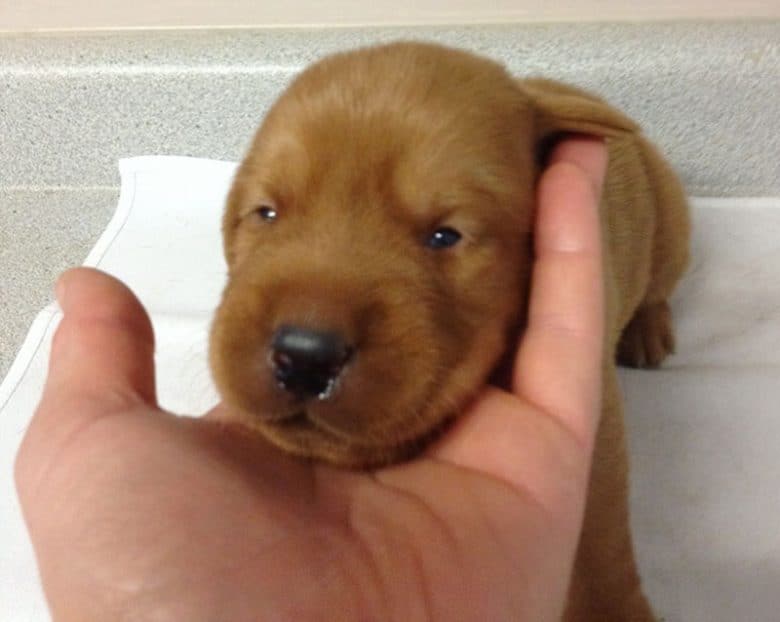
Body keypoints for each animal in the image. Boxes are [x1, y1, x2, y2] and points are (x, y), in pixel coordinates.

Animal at [209, 41, 688, 620]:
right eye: (266, 212)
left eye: (445, 235)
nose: (304, 356)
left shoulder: (600, 423)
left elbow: (600, 542)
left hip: (671, 219)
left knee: (659, 284)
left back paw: (648, 331)